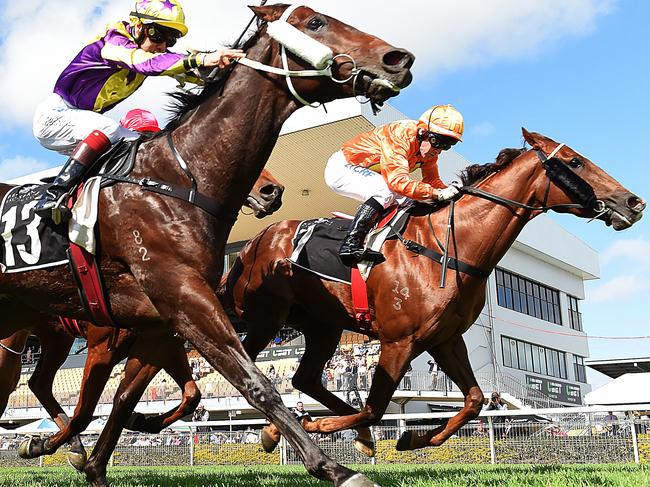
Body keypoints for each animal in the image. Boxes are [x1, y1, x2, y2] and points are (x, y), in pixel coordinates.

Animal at [1, 169, 284, 468]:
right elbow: (87, 408)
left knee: (39, 382)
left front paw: (142, 420)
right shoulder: (103, 345)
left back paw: (73, 446)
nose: (272, 190)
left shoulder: (165, 345)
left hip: (57, 338)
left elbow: (190, 393)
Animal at [223, 130, 644, 458]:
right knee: (249, 369)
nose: (633, 202)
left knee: (305, 380)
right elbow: (375, 408)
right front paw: (312, 427)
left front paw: (412, 439)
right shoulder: (398, 341)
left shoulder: (445, 338)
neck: (447, 247)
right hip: (265, 318)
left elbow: (473, 400)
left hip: (323, 326)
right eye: (575, 162)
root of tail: (253, 243)